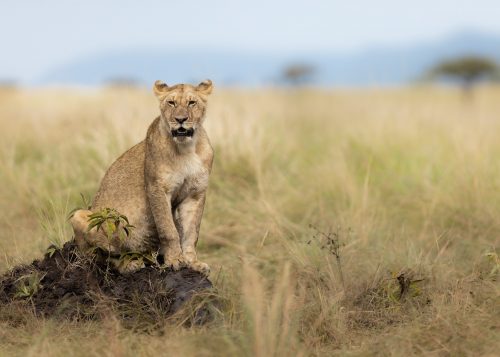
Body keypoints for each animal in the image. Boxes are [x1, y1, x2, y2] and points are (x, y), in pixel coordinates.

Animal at [69, 80, 214, 272]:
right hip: (81, 216)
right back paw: (130, 264)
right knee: (102, 256)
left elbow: (191, 232)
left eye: (192, 103)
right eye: (171, 103)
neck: (187, 148)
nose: (180, 119)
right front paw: (174, 260)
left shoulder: (195, 193)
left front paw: (193, 263)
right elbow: (168, 229)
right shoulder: (157, 188)